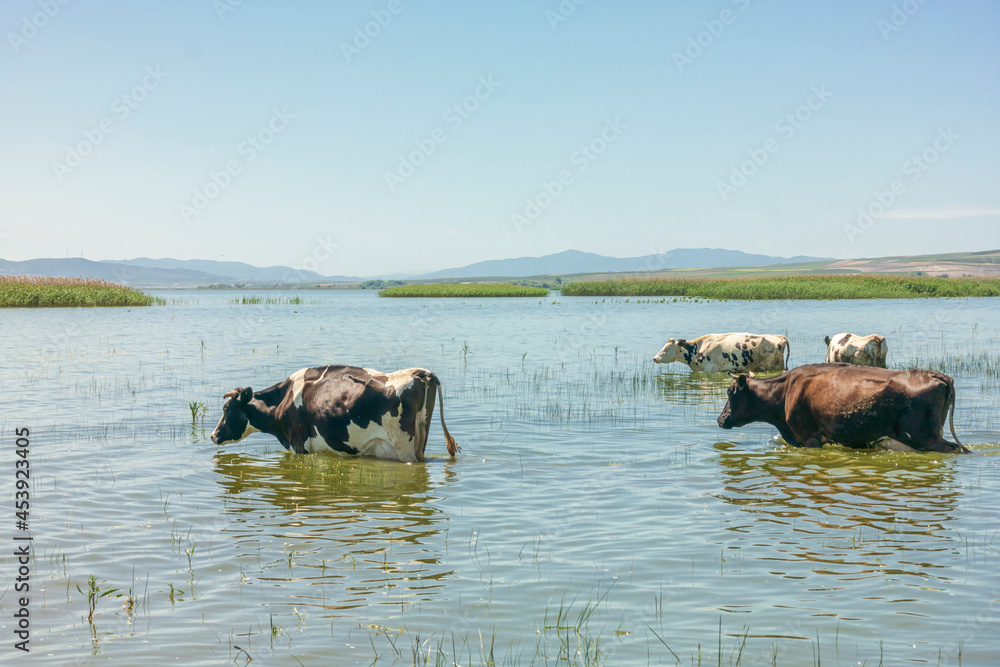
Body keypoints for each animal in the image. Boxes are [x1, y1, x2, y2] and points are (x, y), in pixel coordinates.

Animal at [210, 365, 460, 462]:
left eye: (226, 409)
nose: (213, 435)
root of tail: (418, 372)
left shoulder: (299, 444)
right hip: (420, 441)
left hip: (403, 446)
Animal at [717, 362, 968, 454]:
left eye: (730, 392)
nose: (720, 419)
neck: (785, 390)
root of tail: (935, 374)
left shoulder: (809, 437)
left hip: (924, 437)